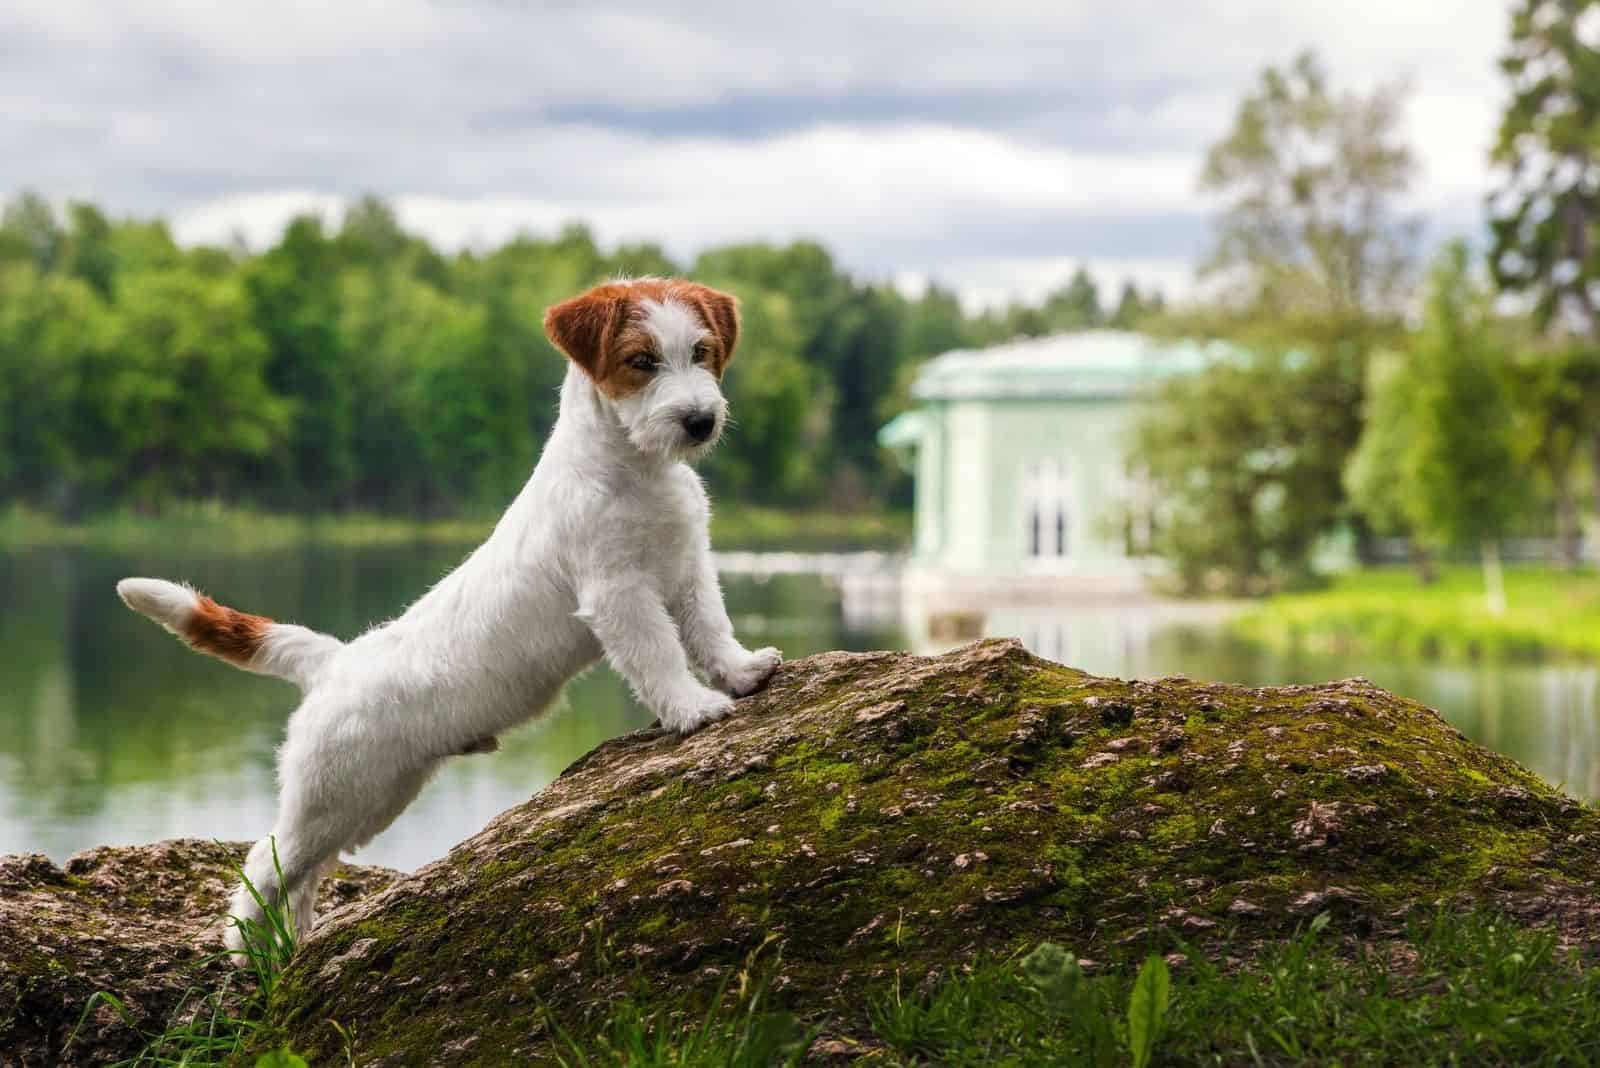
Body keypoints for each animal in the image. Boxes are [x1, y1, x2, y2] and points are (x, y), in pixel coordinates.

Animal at [116, 279, 780, 952]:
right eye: (641, 361)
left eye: (701, 351)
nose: (700, 420)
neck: (632, 470)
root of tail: (334, 661)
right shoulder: (619, 594)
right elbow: (661, 655)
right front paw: (692, 708)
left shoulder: (688, 568)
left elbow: (709, 630)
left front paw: (743, 672)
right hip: (329, 798)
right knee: (267, 861)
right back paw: (245, 949)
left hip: (373, 799)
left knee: (305, 874)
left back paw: (297, 944)